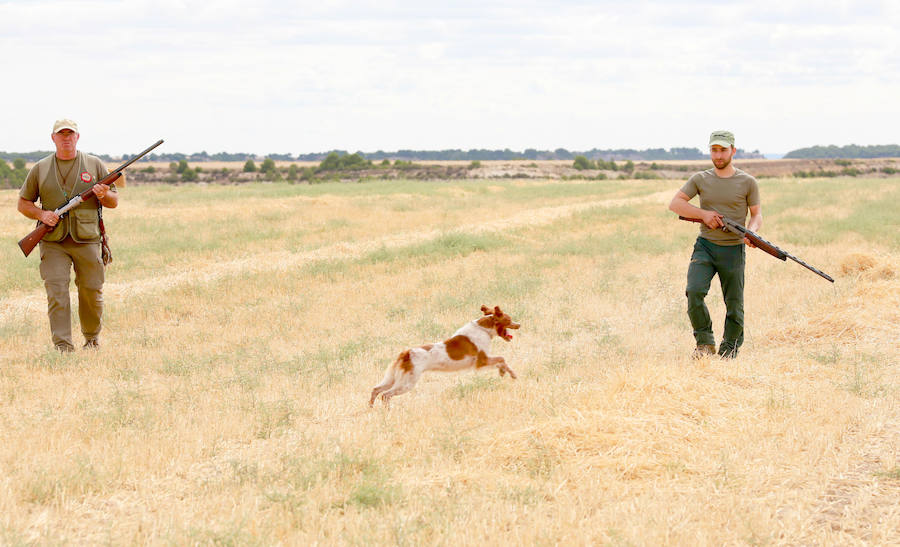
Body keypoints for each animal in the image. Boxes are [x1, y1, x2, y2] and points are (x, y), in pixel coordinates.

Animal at [368, 304, 520, 406]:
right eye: (509, 320)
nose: (519, 325)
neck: (484, 329)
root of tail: (406, 353)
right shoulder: (482, 361)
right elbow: (502, 358)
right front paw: (511, 374)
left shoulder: (485, 360)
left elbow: (501, 362)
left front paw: (503, 372)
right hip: (406, 383)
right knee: (385, 395)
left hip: (393, 379)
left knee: (376, 390)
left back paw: (371, 408)